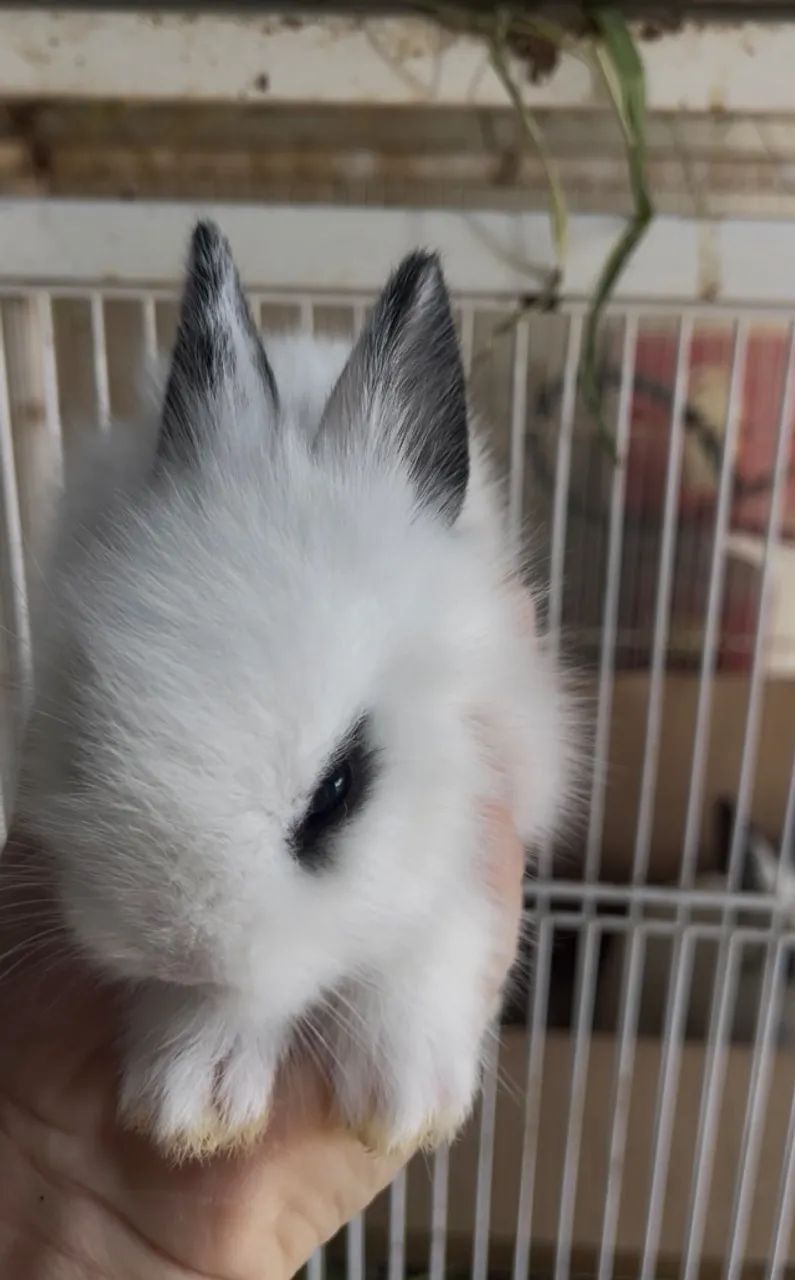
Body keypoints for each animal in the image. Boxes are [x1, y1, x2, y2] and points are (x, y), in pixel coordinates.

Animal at [15, 223, 572, 1161]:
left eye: (338, 791)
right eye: (86, 738)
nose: (181, 949)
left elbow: (431, 932)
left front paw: (401, 1100)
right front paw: (190, 1097)